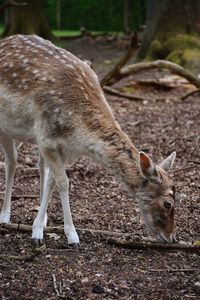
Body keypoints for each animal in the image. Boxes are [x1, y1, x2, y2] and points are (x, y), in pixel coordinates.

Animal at [0, 35, 177, 246]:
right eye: (168, 203)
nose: (172, 238)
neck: (78, 132)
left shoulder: (63, 148)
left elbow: (52, 180)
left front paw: (40, 225)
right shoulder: (46, 137)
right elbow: (64, 182)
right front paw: (67, 235)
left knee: (35, 164)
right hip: (6, 128)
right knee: (11, 162)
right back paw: (4, 216)